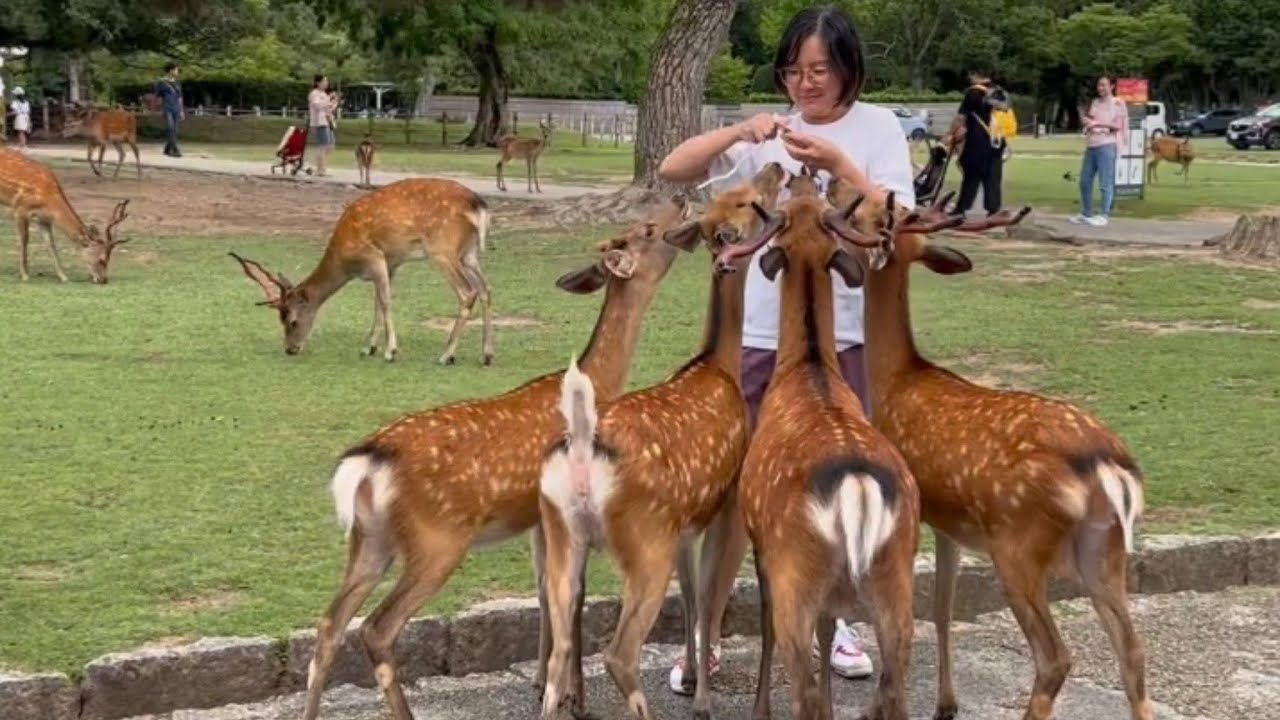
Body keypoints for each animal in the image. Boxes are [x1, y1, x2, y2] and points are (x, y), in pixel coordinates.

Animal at [0, 148, 131, 284]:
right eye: (102, 260)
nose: (104, 279)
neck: (49, 200)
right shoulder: (20, 208)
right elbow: (24, 240)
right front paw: (25, 275)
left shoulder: (43, 219)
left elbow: (51, 244)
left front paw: (63, 277)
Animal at [230, 178, 495, 366]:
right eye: (280, 319)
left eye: (292, 321)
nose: (290, 349)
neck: (345, 261)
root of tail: (478, 206)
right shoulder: (390, 262)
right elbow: (377, 301)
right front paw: (369, 347)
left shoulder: (374, 256)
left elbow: (385, 301)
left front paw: (390, 351)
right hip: (469, 253)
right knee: (486, 290)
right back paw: (486, 355)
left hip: (442, 250)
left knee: (467, 292)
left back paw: (446, 355)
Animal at [296, 195, 694, 720]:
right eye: (647, 230)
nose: (680, 199)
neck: (599, 381)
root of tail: (366, 463)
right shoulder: (558, 511)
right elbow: (574, 597)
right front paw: (575, 699)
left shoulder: (536, 518)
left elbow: (549, 594)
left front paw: (547, 686)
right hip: (437, 538)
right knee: (376, 628)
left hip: (369, 539)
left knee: (329, 624)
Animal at [537, 162, 786, 720]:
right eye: (746, 199)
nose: (776, 167)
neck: (716, 364)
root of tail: (581, 449)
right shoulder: (722, 501)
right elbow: (706, 598)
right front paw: (702, 698)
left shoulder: (685, 523)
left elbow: (692, 596)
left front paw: (693, 677)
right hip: (644, 539)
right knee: (619, 654)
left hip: (565, 534)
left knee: (561, 644)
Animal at [838, 187, 1152, 720]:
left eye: (871, 214)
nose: (838, 196)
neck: (896, 379)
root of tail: (1108, 469)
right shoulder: (951, 522)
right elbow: (942, 608)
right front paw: (946, 703)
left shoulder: (919, 513)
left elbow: (916, 610)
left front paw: (884, 705)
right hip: (1104, 549)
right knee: (1132, 651)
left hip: (1017, 543)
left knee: (1054, 658)